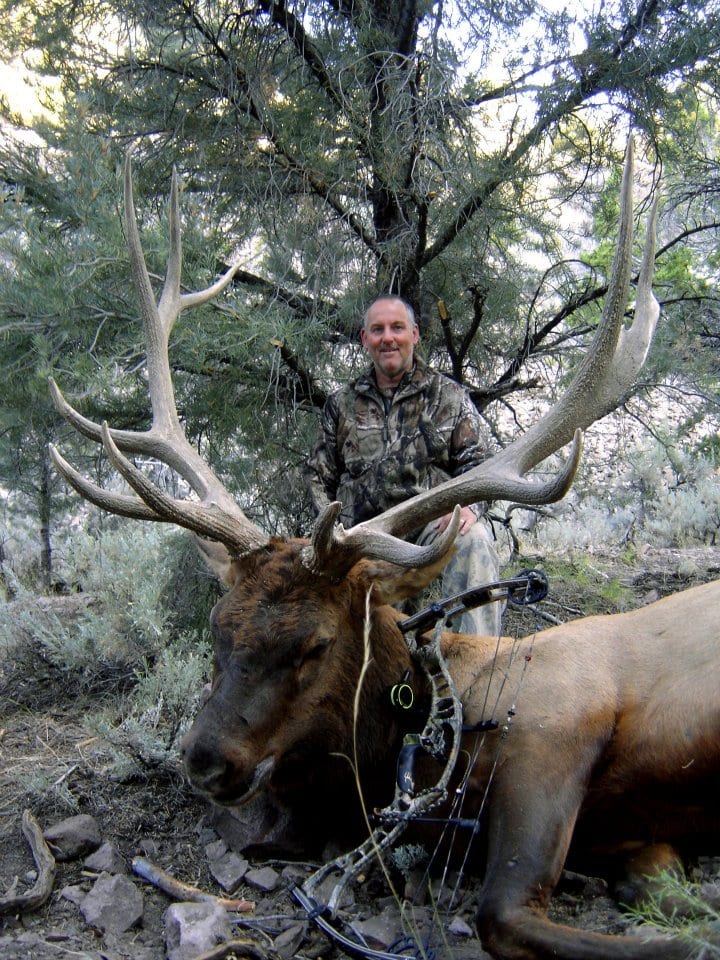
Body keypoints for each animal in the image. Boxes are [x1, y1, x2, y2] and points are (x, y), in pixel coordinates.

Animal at [50, 144, 720, 960]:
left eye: (315, 643)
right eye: (216, 629)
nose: (205, 761)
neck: (436, 721)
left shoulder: (560, 724)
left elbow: (505, 912)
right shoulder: (636, 838)